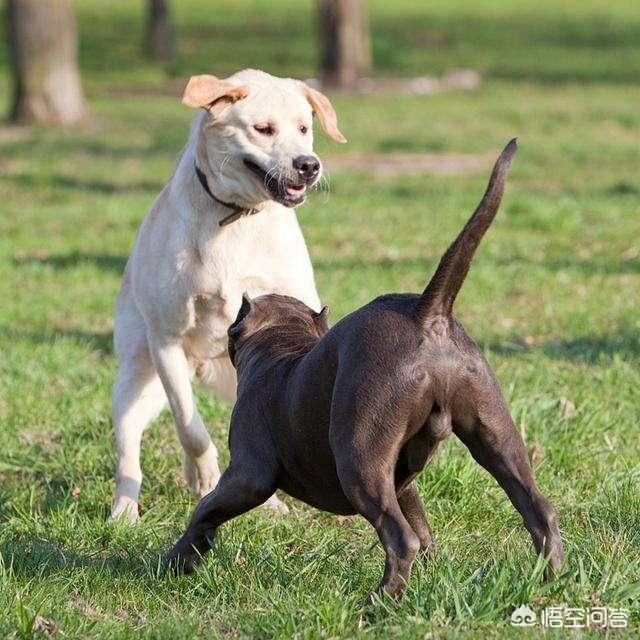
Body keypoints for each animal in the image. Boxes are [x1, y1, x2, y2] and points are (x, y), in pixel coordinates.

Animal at [112, 69, 348, 520]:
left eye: (304, 128)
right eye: (263, 129)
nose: (309, 165)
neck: (237, 216)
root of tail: (206, 365)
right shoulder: (166, 340)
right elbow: (189, 425)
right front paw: (202, 474)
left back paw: (269, 502)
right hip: (137, 383)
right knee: (130, 448)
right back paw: (125, 510)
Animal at [166, 140, 564, 600]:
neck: (280, 346)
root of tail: (428, 313)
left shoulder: (248, 474)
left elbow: (205, 508)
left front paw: (177, 560)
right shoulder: (403, 482)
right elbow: (424, 527)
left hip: (358, 458)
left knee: (399, 537)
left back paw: (381, 600)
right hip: (494, 435)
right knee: (538, 510)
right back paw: (550, 581)